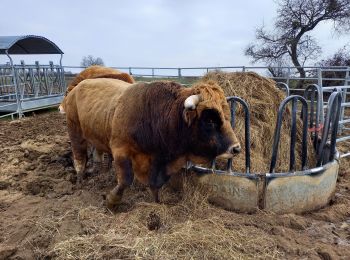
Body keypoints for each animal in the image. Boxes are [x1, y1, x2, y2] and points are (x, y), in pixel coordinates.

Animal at [62, 78, 241, 208]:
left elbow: (156, 183)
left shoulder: (159, 160)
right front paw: (112, 200)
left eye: (227, 115)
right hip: (75, 132)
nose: (236, 148)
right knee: (79, 157)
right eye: (210, 120)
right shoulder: (121, 150)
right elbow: (125, 180)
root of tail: (77, 87)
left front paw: (156, 202)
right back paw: (79, 179)